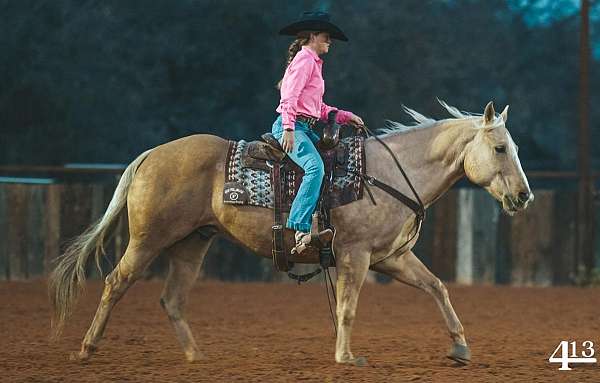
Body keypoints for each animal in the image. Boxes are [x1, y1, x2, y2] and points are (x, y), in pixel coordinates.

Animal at [49, 100, 532, 368]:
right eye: (499, 148)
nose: (524, 196)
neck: (388, 173)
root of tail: (151, 154)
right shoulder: (356, 255)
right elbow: (347, 308)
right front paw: (345, 357)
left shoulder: (391, 258)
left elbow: (437, 288)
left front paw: (460, 348)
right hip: (149, 239)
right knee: (116, 282)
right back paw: (87, 348)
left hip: (193, 243)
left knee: (171, 299)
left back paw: (195, 357)